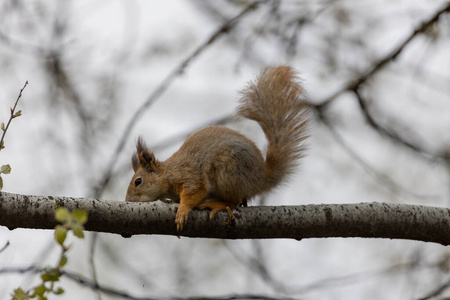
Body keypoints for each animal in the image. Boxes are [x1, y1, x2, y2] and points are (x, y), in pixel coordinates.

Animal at [125, 65, 310, 231]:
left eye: (138, 181)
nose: (127, 200)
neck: (167, 174)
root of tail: (261, 178)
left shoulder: (189, 176)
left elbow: (194, 193)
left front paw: (183, 210)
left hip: (229, 172)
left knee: (233, 202)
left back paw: (217, 205)